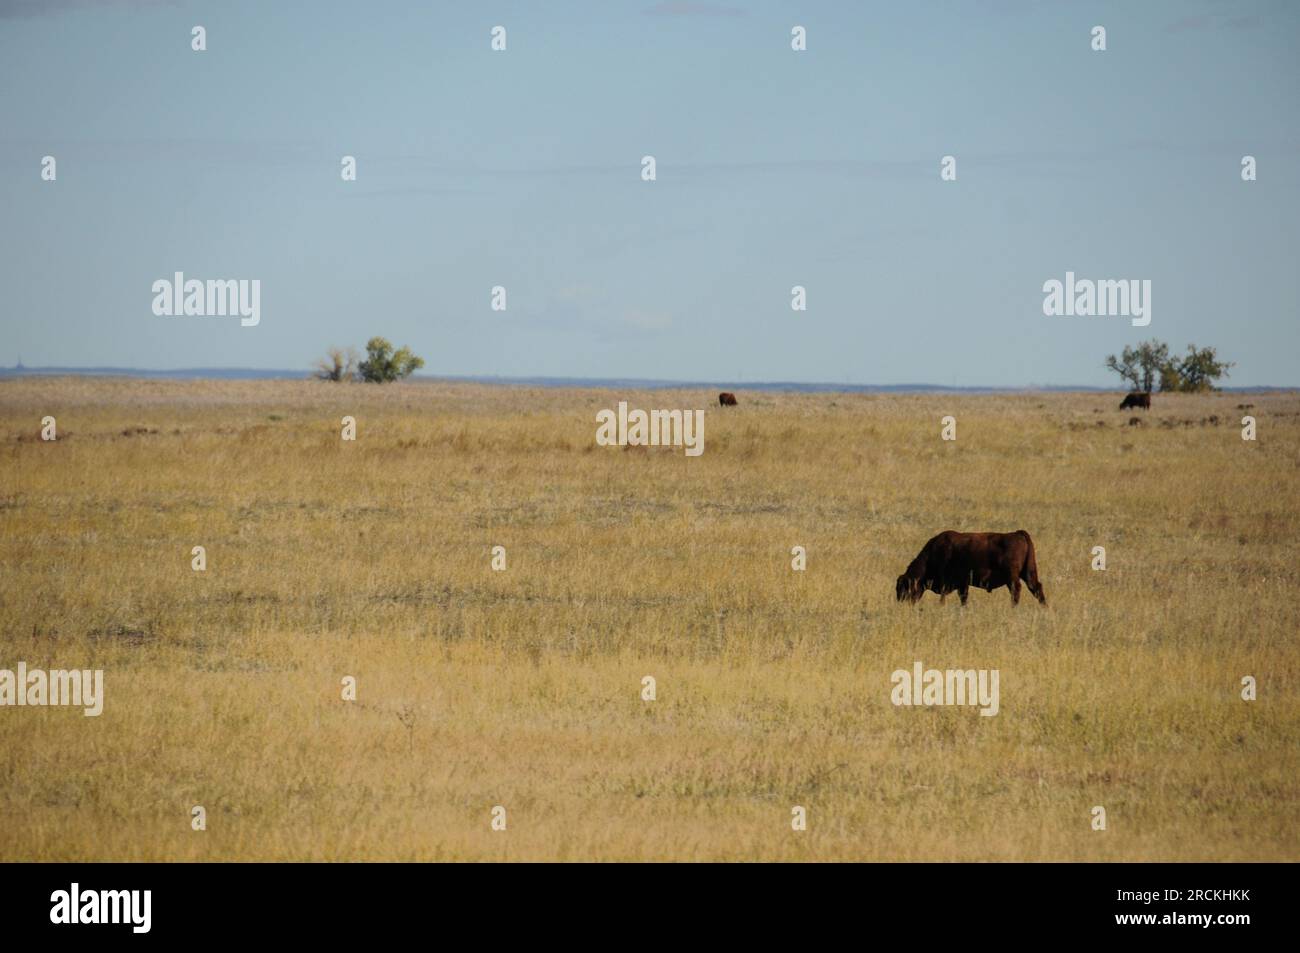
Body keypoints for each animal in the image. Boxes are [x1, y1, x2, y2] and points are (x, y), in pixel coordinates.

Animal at [894, 530, 1045, 605]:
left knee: (1016, 590)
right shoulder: (963, 585)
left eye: (904, 587)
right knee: (1036, 588)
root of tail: (1018, 533)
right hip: (1029, 573)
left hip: (1012, 577)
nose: (902, 603)